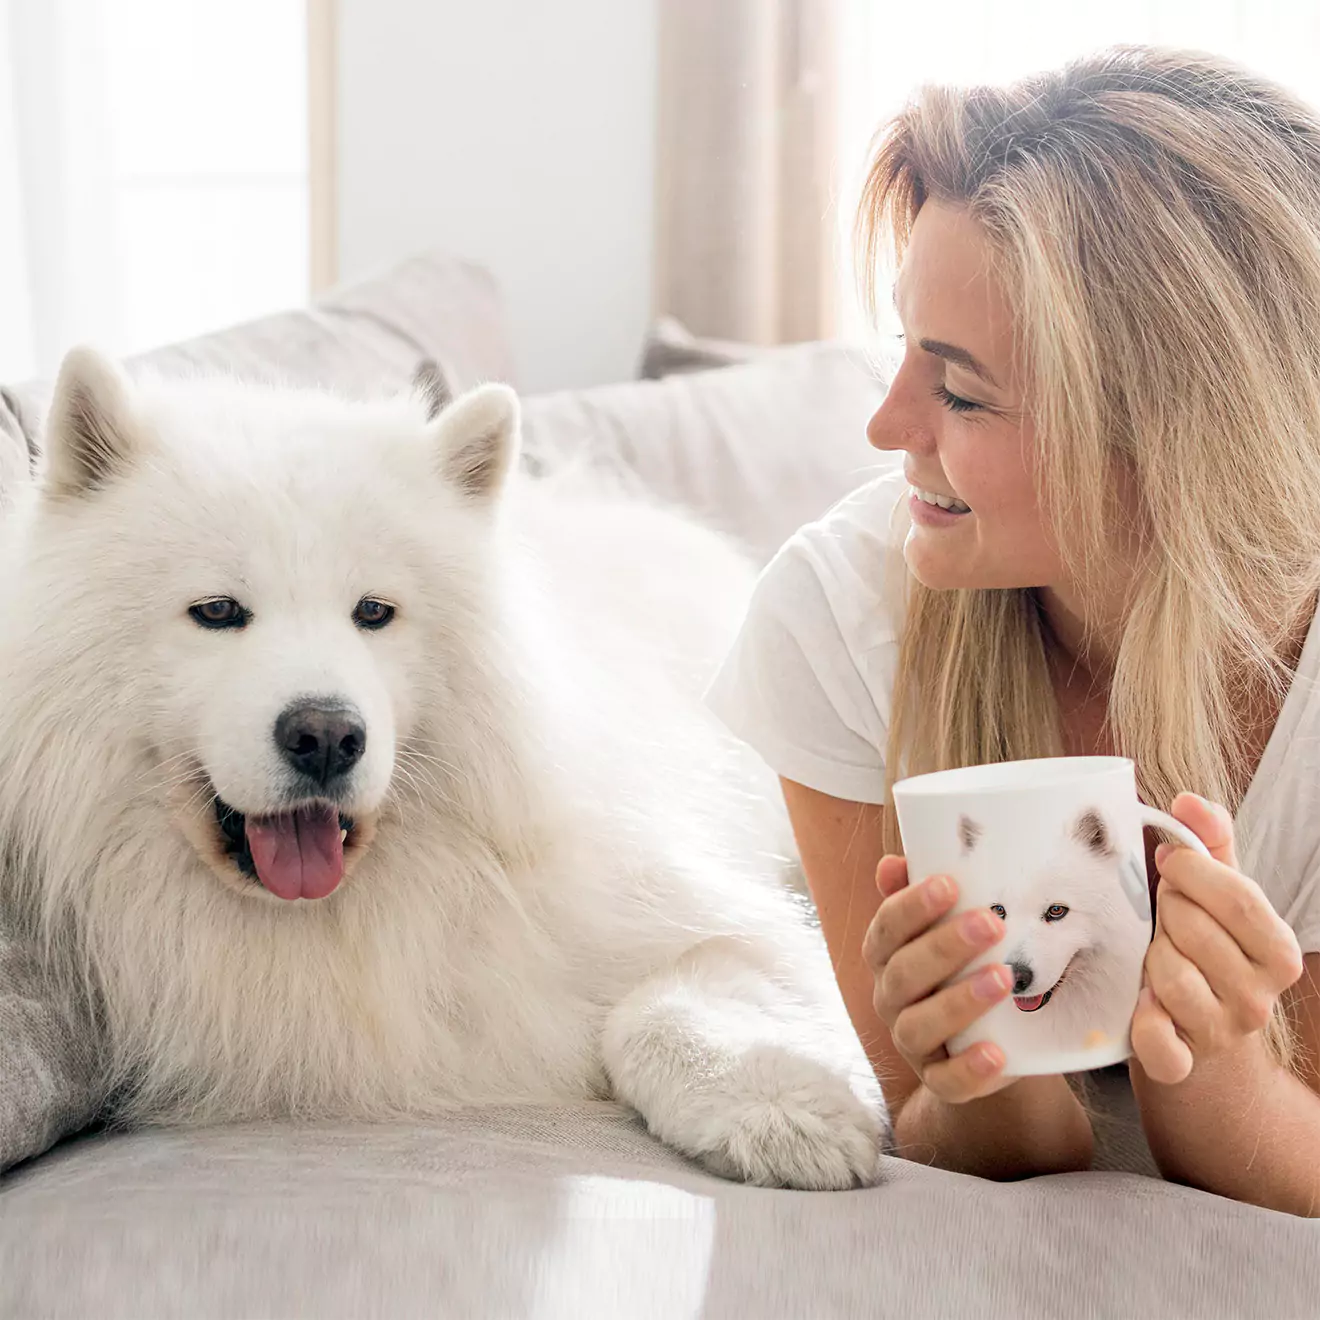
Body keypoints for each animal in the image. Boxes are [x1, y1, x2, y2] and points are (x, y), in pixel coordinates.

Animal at [0, 345, 887, 1193]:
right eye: (217, 612)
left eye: (374, 613)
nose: (327, 735)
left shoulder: (700, 914)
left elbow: (664, 1006)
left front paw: (780, 1107)